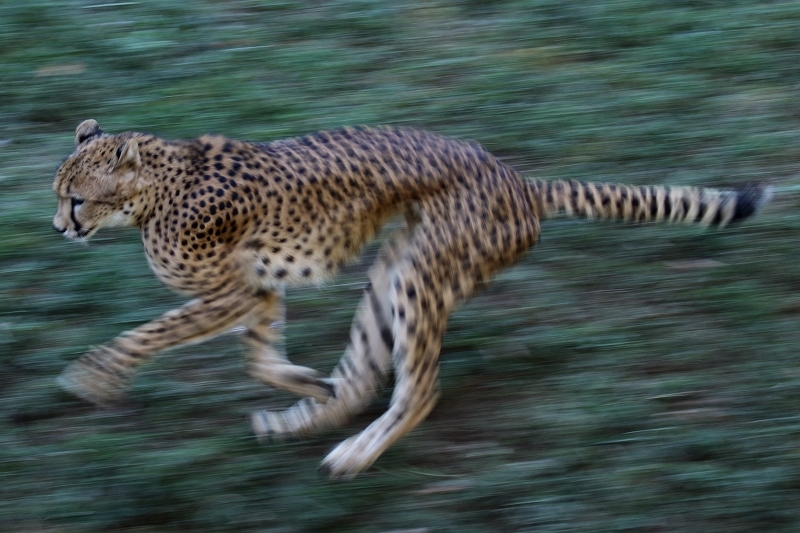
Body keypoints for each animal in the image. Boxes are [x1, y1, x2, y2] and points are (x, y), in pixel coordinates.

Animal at [51, 120, 768, 478]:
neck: (155, 189)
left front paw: (94, 375)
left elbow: (153, 333)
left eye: (76, 198)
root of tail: (518, 179)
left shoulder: (231, 289)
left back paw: (353, 453)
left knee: (418, 388)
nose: (58, 228)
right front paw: (305, 384)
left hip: (422, 275)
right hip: (394, 272)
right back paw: (306, 418)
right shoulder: (255, 289)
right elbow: (260, 354)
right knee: (367, 374)